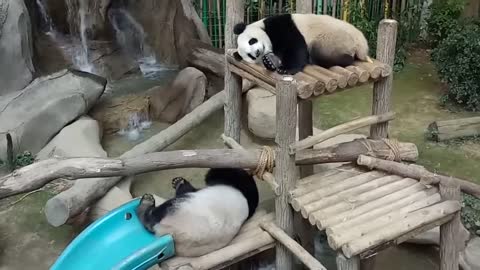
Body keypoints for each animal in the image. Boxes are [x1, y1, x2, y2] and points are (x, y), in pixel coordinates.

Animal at [232, 13, 372, 74]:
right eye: (251, 56)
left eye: (252, 41)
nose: (257, 52)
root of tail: (362, 44)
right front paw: (270, 62)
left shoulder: (280, 25)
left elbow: (295, 46)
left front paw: (286, 69)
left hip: (334, 38)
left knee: (318, 53)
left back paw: (345, 58)